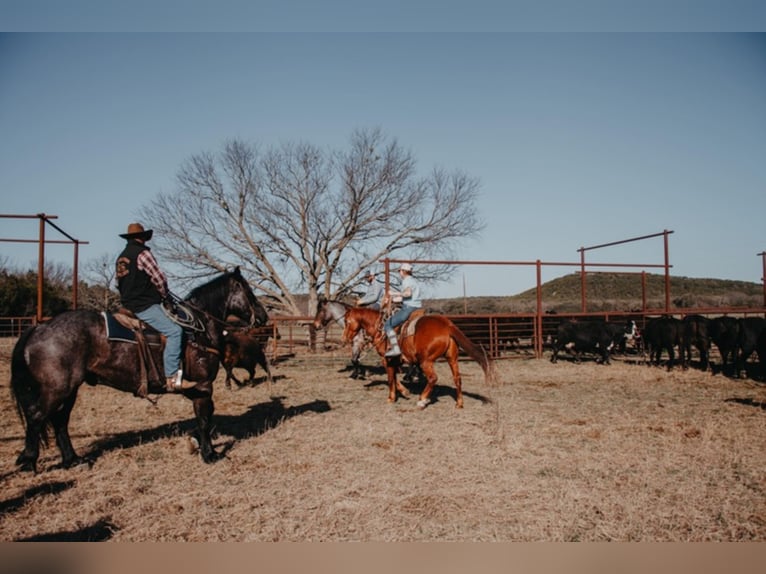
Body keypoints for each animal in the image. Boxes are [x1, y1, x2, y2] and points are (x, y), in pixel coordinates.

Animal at [9, 266, 270, 472]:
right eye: (249, 292)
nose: (264, 317)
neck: (199, 328)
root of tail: (39, 328)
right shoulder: (204, 387)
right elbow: (205, 419)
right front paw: (210, 454)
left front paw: (197, 446)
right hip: (57, 389)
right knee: (37, 416)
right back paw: (28, 460)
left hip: (70, 390)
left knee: (59, 421)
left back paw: (72, 459)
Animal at [340, 310, 496, 410]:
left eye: (347, 321)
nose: (344, 339)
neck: (381, 330)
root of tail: (447, 325)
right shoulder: (395, 362)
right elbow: (394, 377)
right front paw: (404, 392)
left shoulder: (387, 360)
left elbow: (391, 379)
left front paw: (392, 397)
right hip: (452, 358)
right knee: (457, 378)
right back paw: (459, 403)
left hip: (426, 361)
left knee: (433, 378)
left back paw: (422, 400)